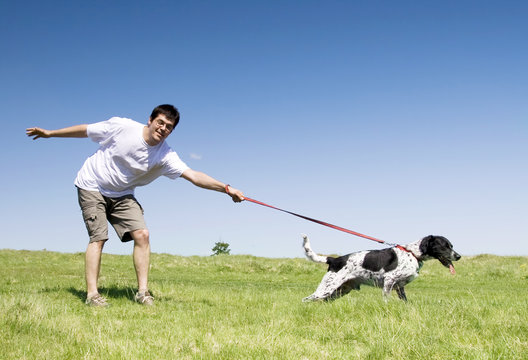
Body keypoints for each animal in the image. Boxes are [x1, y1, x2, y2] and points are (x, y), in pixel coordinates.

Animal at [304, 233, 460, 300]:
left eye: (452, 246)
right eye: (445, 246)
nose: (458, 256)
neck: (412, 253)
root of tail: (334, 260)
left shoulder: (400, 287)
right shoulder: (389, 281)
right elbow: (386, 300)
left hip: (338, 291)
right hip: (326, 289)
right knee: (306, 299)